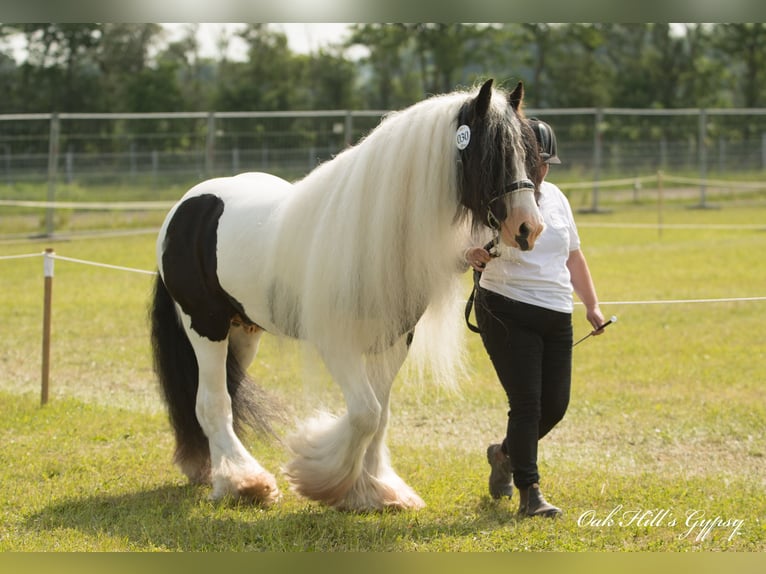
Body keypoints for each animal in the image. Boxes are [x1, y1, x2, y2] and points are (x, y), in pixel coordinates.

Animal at [150, 77, 544, 512]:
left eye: (530, 152)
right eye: (492, 155)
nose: (528, 228)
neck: (372, 232)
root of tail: (185, 208)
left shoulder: (394, 341)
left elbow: (381, 414)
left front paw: (376, 489)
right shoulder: (337, 344)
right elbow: (365, 414)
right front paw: (320, 474)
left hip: (243, 331)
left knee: (228, 396)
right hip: (205, 326)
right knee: (212, 402)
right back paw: (243, 483)